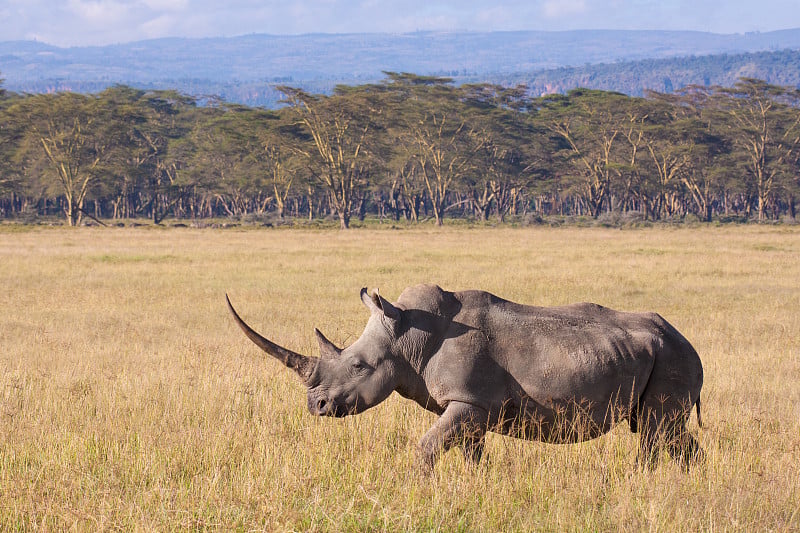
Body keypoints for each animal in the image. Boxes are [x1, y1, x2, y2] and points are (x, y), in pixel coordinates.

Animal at [223, 284, 700, 468]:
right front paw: (477, 486)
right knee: (666, 432)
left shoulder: (469, 401)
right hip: (659, 353)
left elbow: (427, 447)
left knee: (656, 429)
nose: (316, 405)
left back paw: (644, 478)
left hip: (672, 356)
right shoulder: (471, 405)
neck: (408, 336)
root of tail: (686, 338)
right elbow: (471, 454)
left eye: (358, 366)